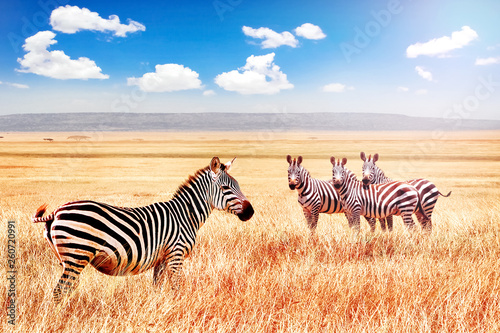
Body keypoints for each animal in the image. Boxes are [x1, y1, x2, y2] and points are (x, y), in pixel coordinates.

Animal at [32, 157, 254, 302]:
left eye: (238, 185)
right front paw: (177, 307)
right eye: (226, 188)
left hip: (67, 259)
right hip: (77, 256)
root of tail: (57, 211)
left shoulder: (162, 258)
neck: (185, 215)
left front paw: (157, 308)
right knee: (59, 292)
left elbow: (157, 288)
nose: (250, 212)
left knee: (66, 290)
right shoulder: (176, 254)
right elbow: (176, 288)